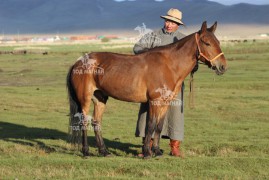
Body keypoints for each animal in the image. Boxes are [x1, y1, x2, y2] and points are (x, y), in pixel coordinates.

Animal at [66, 21, 226, 158]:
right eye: (207, 43)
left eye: (218, 42)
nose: (223, 66)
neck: (169, 65)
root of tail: (78, 62)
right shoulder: (154, 101)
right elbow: (150, 125)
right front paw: (148, 153)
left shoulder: (165, 103)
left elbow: (159, 126)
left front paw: (157, 151)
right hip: (85, 99)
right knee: (84, 122)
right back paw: (86, 151)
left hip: (100, 98)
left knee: (96, 122)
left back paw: (104, 151)